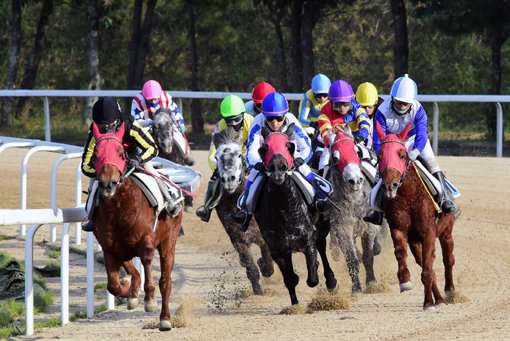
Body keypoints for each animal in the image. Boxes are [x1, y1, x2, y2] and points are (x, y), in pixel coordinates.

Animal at [91, 122, 181, 330]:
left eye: (120, 152)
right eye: (96, 154)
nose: (108, 184)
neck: (119, 211)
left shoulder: (147, 239)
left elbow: (146, 262)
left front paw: (149, 299)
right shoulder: (110, 248)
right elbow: (113, 285)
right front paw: (129, 293)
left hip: (169, 241)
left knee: (165, 282)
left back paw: (165, 318)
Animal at [211, 126, 274, 294]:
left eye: (239, 154)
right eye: (217, 156)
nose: (229, 179)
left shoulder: (264, 235)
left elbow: (268, 263)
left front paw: (264, 265)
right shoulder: (237, 238)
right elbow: (250, 265)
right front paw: (257, 290)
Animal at [255, 124, 338, 302]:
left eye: (289, 146)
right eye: (265, 148)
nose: (278, 168)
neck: (284, 209)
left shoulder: (308, 239)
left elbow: (312, 279)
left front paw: (317, 271)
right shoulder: (277, 249)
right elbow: (290, 279)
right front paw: (295, 303)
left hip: (322, 226)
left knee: (321, 246)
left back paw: (330, 280)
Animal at [324, 126, 380, 294]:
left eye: (357, 152)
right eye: (335, 158)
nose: (355, 180)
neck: (354, 201)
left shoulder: (368, 225)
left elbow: (368, 256)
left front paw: (372, 282)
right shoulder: (342, 227)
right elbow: (351, 258)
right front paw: (356, 287)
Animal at [374, 121, 454, 308]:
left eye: (402, 155)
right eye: (380, 155)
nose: (390, 187)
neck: (409, 196)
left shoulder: (429, 232)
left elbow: (429, 267)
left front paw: (429, 303)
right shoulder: (398, 229)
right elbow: (401, 253)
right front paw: (405, 281)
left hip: (446, 232)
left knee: (448, 260)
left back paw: (449, 292)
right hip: (415, 241)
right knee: (426, 263)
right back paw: (439, 298)